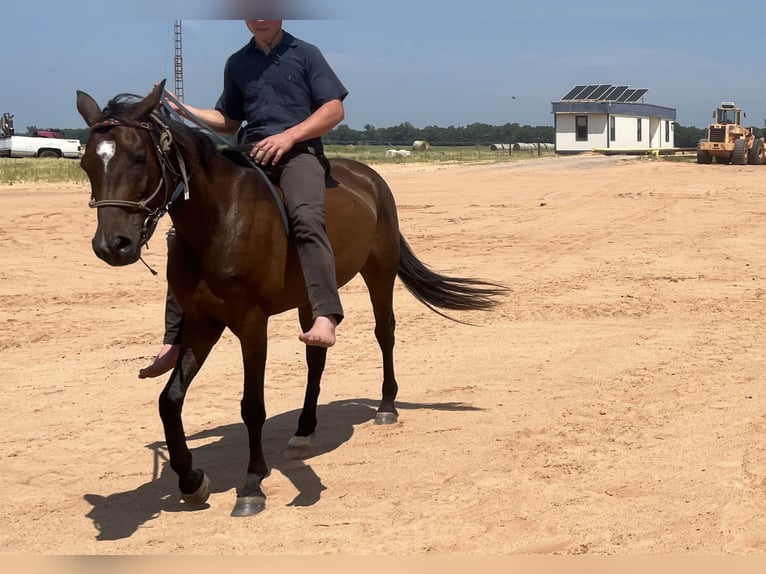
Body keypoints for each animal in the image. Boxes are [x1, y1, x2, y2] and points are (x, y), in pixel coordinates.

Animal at [76, 80, 510, 516]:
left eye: (139, 157)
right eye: (87, 165)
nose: (112, 245)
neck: (219, 221)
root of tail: (370, 178)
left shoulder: (251, 324)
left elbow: (252, 405)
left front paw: (252, 484)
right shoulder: (203, 322)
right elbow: (170, 400)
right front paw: (191, 480)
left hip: (379, 273)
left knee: (384, 333)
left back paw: (386, 407)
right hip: (308, 298)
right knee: (316, 356)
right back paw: (304, 429)